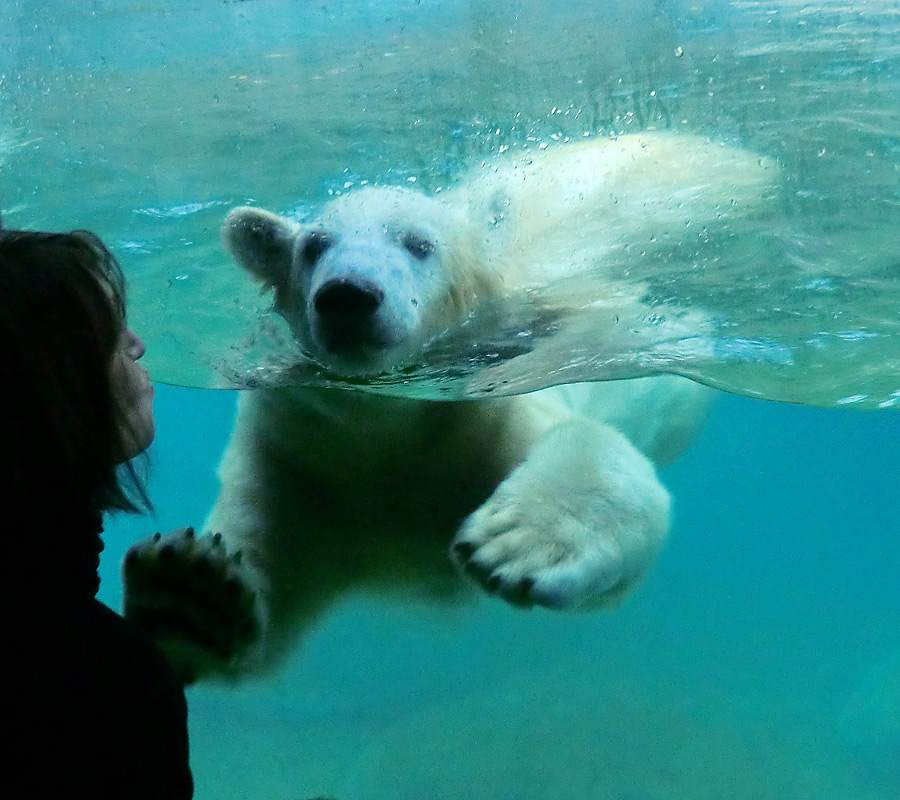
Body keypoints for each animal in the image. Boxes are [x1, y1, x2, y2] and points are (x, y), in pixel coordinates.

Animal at [123, 134, 776, 684]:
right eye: (313, 246)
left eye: (419, 245)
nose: (348, 295)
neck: (384, 427)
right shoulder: (298, 457)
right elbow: (268, 566)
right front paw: (191, 592)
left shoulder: (485, 411)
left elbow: (598, 457)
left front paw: (514, 546)